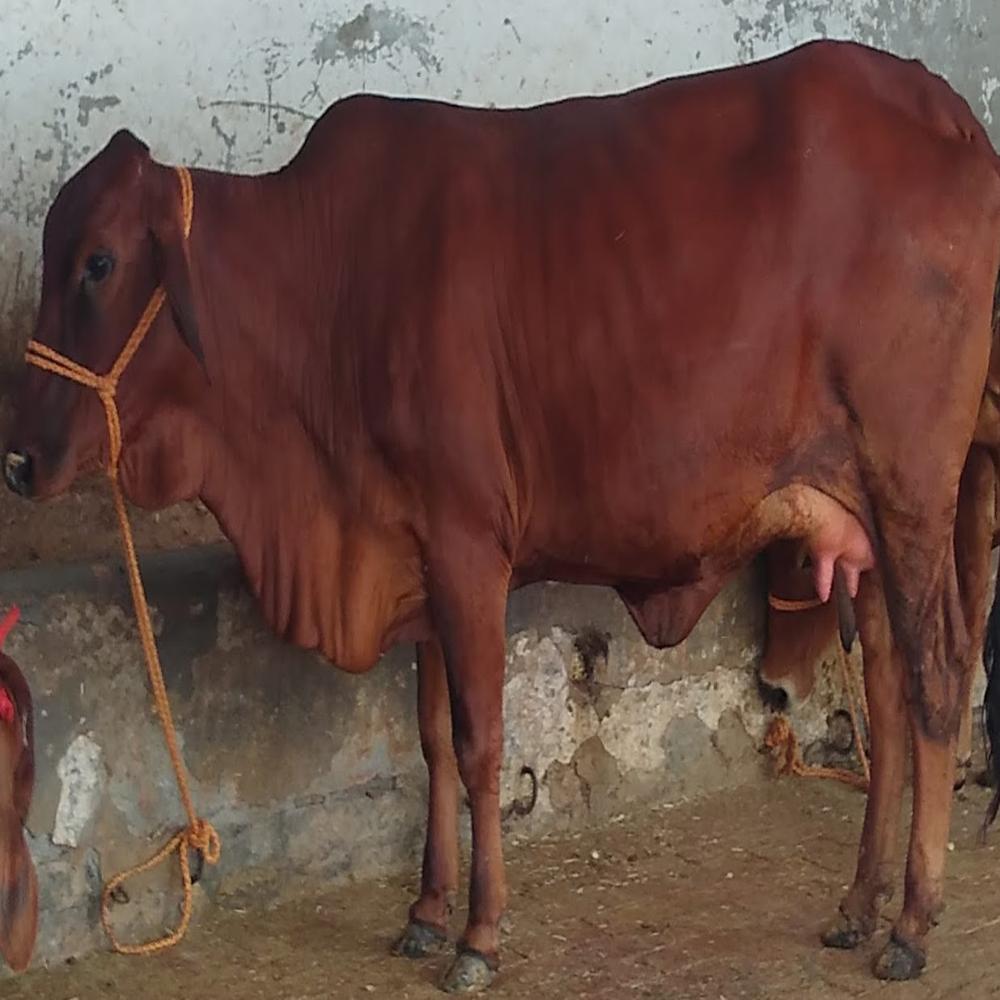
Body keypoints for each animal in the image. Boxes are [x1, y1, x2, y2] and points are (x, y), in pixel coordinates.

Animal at [4, 38, 1000, 992]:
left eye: (98, 262)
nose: (19, 459)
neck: (325, 293)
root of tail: (945, 108)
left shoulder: (468, 547)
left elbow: (480, 741)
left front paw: (478, 936)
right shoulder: (411, 552)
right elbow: (433, 743)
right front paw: (425, 912)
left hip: (912, 489)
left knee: (941, 673)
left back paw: (912, 923)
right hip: (860, 517)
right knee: (887, 684)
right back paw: (859, 906)